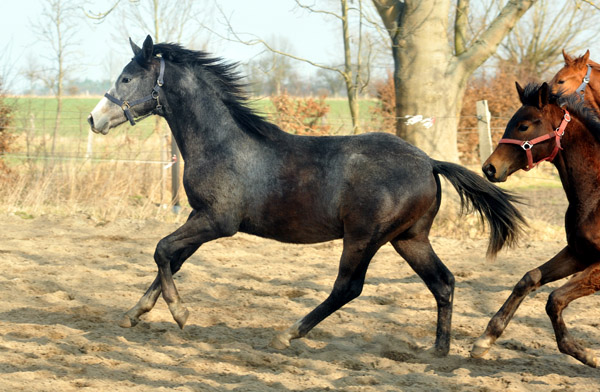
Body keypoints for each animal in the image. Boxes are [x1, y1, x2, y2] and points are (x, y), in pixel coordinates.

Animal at [86, 36, 524, 356]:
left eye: (126, 79)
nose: (94, 119)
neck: (222, 143)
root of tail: (429, 162)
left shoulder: (216, 222)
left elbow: (162, 250)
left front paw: (179, 313)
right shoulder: (200, 217)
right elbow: (172, 260)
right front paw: (134, 313)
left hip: (364, 237)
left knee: (348, 287)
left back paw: (288, 333)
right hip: (409, 238)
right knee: (443, 282)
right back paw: (439, 351)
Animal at [474, 82, 600, 368]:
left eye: (523, 126)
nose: (489, 168)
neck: (596, 197)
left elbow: (555, 299)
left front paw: (588, 355)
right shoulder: (578, 253)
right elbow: (529, 278)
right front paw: (485, 339)